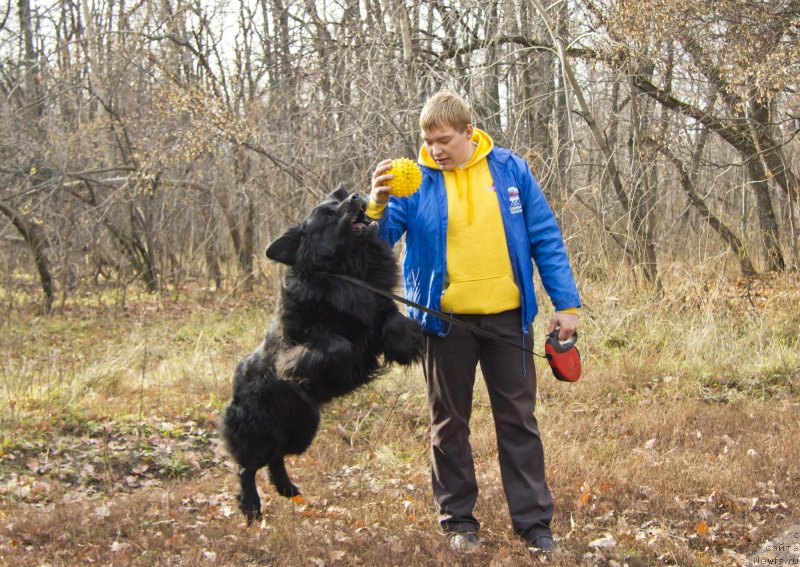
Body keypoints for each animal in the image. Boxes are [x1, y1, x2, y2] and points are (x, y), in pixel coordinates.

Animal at [219, 186, 424, 524]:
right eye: (328, 215)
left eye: (337, 201)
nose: (354, 196)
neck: (343, 271)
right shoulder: (294, 344)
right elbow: (337, 345)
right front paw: (312, 371)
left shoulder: (376, 311)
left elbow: (392, 321)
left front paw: (408, 343)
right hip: (260, 430)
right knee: (246, 466)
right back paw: (251, 506)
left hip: (304, 427)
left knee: (277, 457)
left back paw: (287, 488)